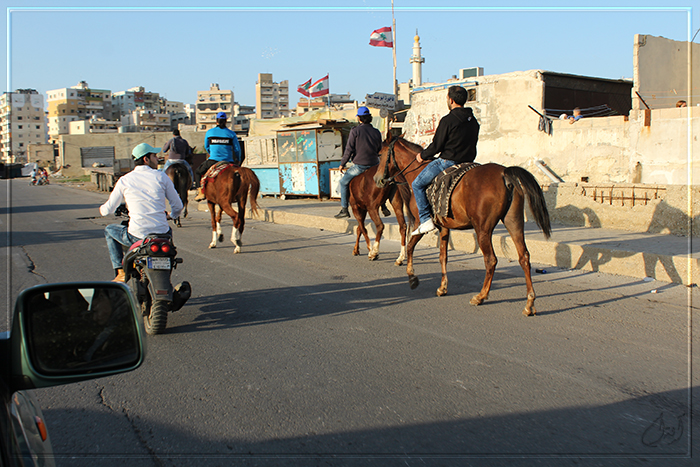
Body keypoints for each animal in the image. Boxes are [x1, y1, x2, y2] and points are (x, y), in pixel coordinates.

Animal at [374, 137, 548, 316]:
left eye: (380, 154)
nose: (377, 178)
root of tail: (504, 173)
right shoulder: (444, 228)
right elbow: (443, 256)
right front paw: (442, 288)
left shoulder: (419, 223)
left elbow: (410, 247)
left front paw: (412, 277)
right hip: (514, 223)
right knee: (524, 257)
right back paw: (529, 303)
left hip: (483, 230)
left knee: (491, 260)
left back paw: (481, 296)